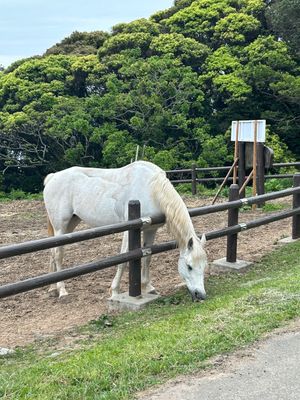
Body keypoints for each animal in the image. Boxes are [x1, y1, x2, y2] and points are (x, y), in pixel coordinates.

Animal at [42, 159, 206, 300]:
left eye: (204, 266)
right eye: (189, 267)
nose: (200, 295)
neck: (151, 188)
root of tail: (52, 177)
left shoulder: (151, 230)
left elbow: (147, 258)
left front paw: (148, 287)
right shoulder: (129, 231)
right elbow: (124, 259)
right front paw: (114, 291)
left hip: (70, 224)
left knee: (52, 252)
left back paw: (52, 288)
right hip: (60, 226)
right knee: (58, 254)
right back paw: (62, 290)